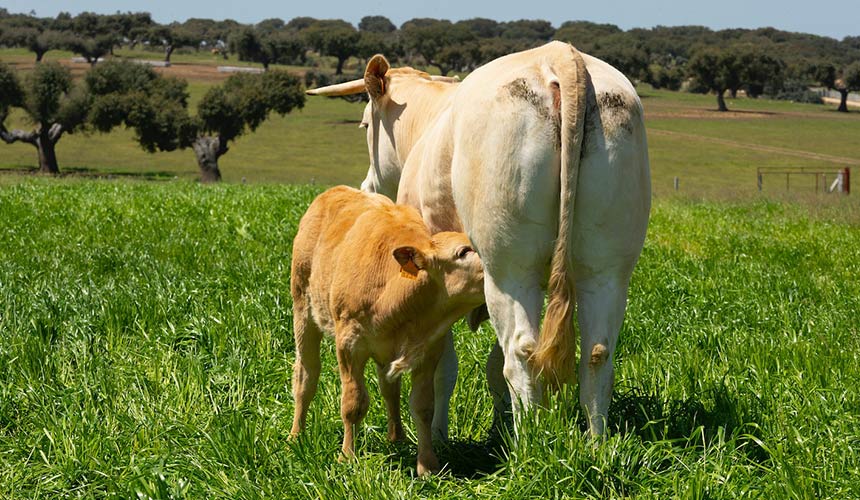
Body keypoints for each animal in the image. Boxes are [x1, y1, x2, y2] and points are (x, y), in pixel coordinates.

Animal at [288, 186, 484, 474]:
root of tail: (334, 191)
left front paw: (427, 465)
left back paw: (397, 437)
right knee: (306, 375)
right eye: (463, 252)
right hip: (303, 308)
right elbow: (353, 403)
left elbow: (423, 406)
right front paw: (347, 456)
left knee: (389, 389)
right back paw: (296, 435)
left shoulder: (428, 350)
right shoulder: (349, 345)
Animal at [310, 41, 652, 438]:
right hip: (606, 270)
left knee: (521, 352)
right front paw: (497, 427)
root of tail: (561, 55)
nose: (366, 186)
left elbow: (444, 367)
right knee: (596, 354)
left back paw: (529, 442)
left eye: (365, 123)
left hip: (508, 271)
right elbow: (491, 368)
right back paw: (594, 443)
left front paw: (439, 435)